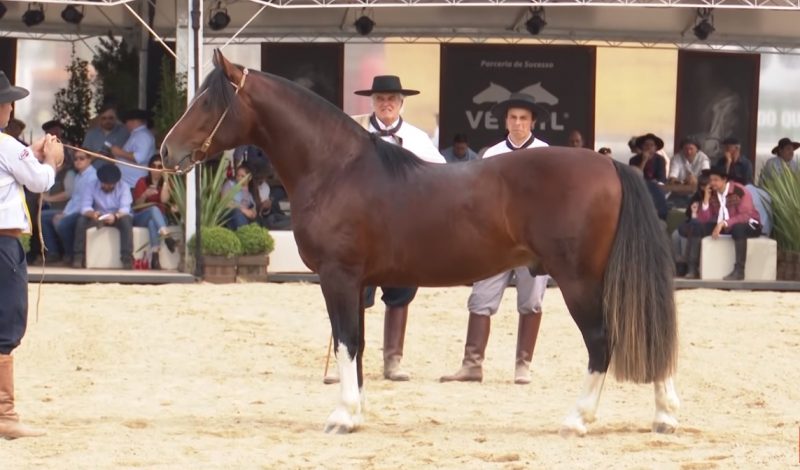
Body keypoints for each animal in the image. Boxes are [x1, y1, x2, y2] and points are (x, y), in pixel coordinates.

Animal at [162, 50, 680, 436]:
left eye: (207, 103)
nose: (168, 151)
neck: (336, 169)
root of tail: (611, 164)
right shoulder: (359, 283)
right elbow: (360, 345)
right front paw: (357, 413)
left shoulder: (338, 277)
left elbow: (347, 341)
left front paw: (342, 416)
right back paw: (664, 416)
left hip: (578, 280)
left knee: (602, 341)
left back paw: (577, 419)